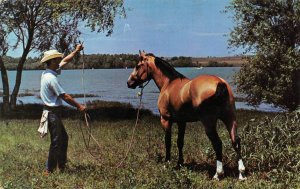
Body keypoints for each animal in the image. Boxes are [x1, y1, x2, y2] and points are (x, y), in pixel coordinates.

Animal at [126, 50, 246, 180]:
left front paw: (167, 163)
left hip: (209, 123)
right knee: (235, 141)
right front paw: (180, 164)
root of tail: (220, 83)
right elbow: (180, 142)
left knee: (217, 143)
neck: (168, 84)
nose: (129, 82)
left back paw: (217, 174)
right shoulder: (181, 122)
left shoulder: (166, 120)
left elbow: (168, 142)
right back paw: (241, 173)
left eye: (138, 66)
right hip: (230, 118)